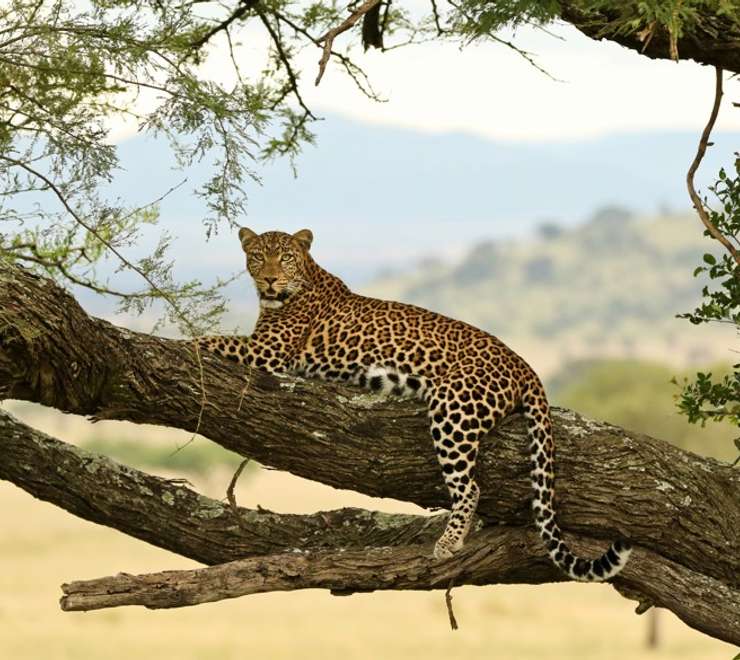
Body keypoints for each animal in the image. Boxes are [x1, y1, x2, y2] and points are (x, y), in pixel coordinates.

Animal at [198, 227, 632, 581]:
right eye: (258, 256)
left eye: (285, 257)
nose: (270, 278)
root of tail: (524, 365)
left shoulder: (268, 353)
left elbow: (209, 339)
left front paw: (181, 343)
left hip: (454, 408)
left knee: (470, 487)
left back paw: (449, 542)